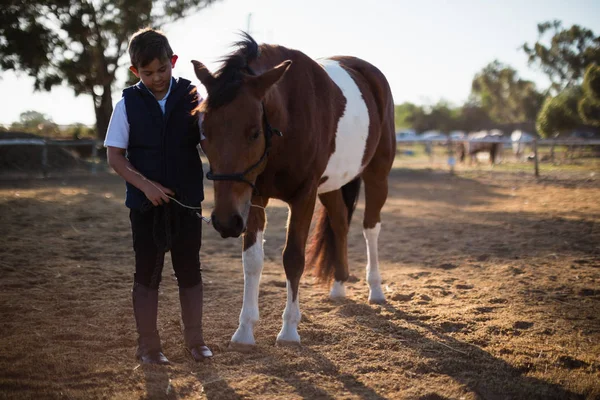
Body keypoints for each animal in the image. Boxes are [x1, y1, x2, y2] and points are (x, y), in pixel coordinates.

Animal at [192, 35, 396, 346]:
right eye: (204, 133)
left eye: (254, 132)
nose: (226, 222)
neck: (288, 119)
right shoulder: (254, 197)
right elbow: (252, 260)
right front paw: (245, 330)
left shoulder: (303, 196)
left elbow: (293, 257)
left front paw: (289, 329)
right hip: (331, 185)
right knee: (340, 222)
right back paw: (339, 284)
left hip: (377, 175)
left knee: (370, 228)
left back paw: (375, 289)